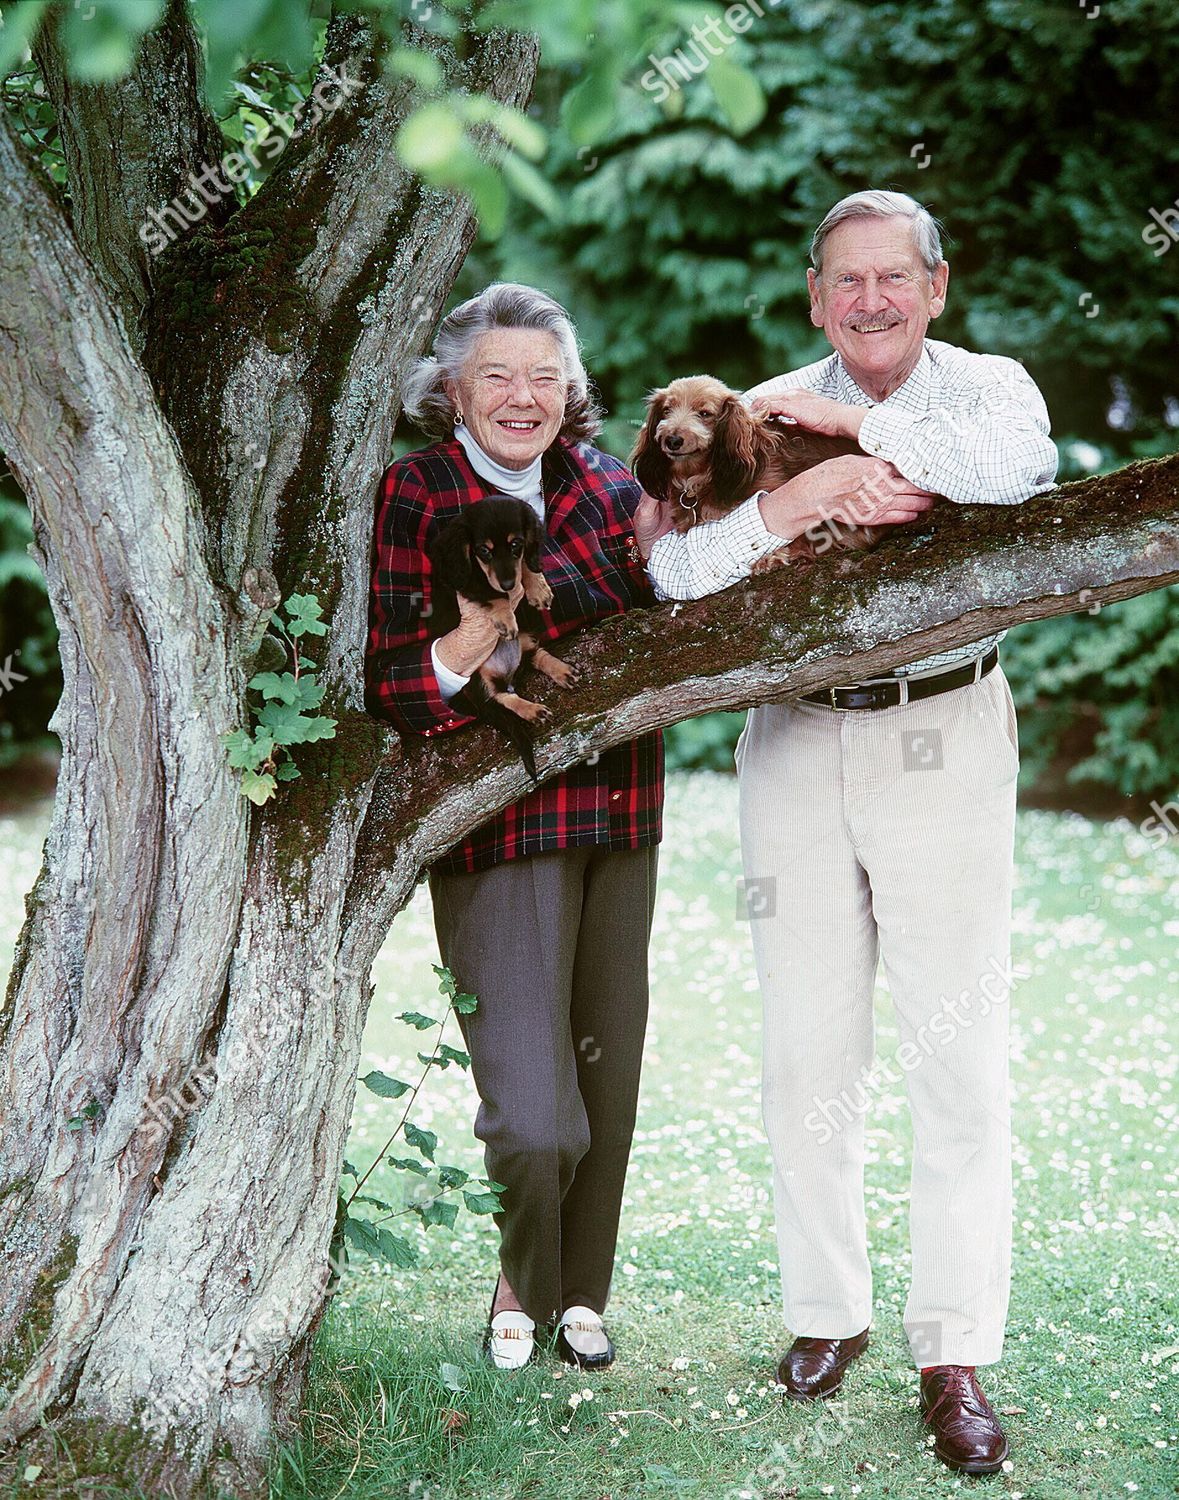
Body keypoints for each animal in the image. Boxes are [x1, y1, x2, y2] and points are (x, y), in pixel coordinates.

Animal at [426, 498, 576, 780]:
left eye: (516, 544)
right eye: (484, 550)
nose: (508, 584)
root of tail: (508, 677)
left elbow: (525, 565)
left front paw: (537, 589)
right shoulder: (467, 582)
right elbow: (492, 594)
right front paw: (505, 618)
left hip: (526, 640)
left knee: (535, 656)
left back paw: (562, 671)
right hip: (477, 679)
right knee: (498, 698)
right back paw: (533, 710)